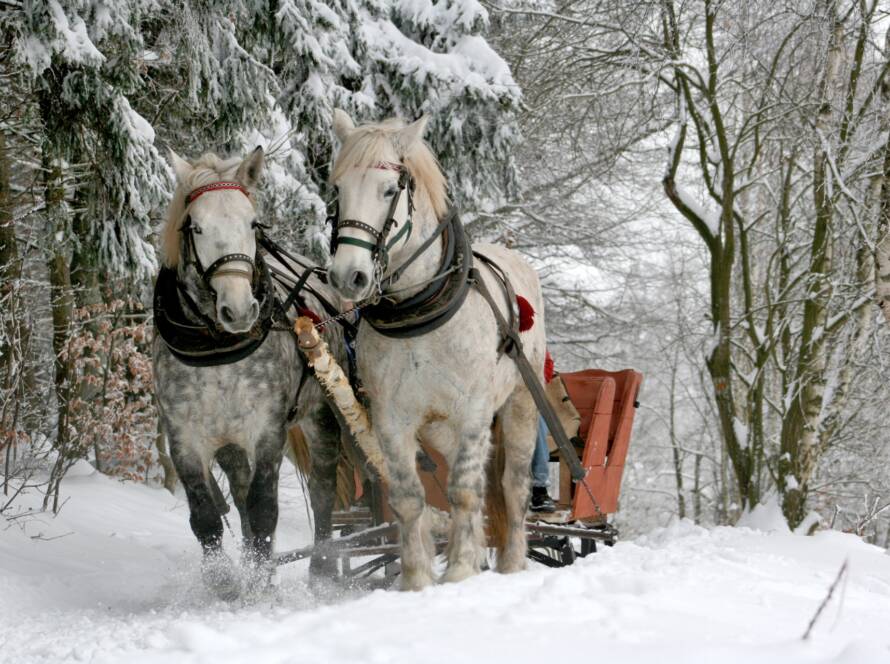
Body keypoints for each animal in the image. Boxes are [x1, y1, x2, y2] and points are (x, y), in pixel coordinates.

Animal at [326, 110, 544, 592]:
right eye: (338, 190)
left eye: (389, 190)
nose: (348, 276)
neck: (418, 309)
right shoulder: (391, 418)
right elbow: (410, 497)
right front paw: (417, 579)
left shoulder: (474, 411)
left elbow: (464, 489)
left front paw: (460, 569)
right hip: (440, 426)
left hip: (520, 403)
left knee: (512, 484)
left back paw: (512, 562)